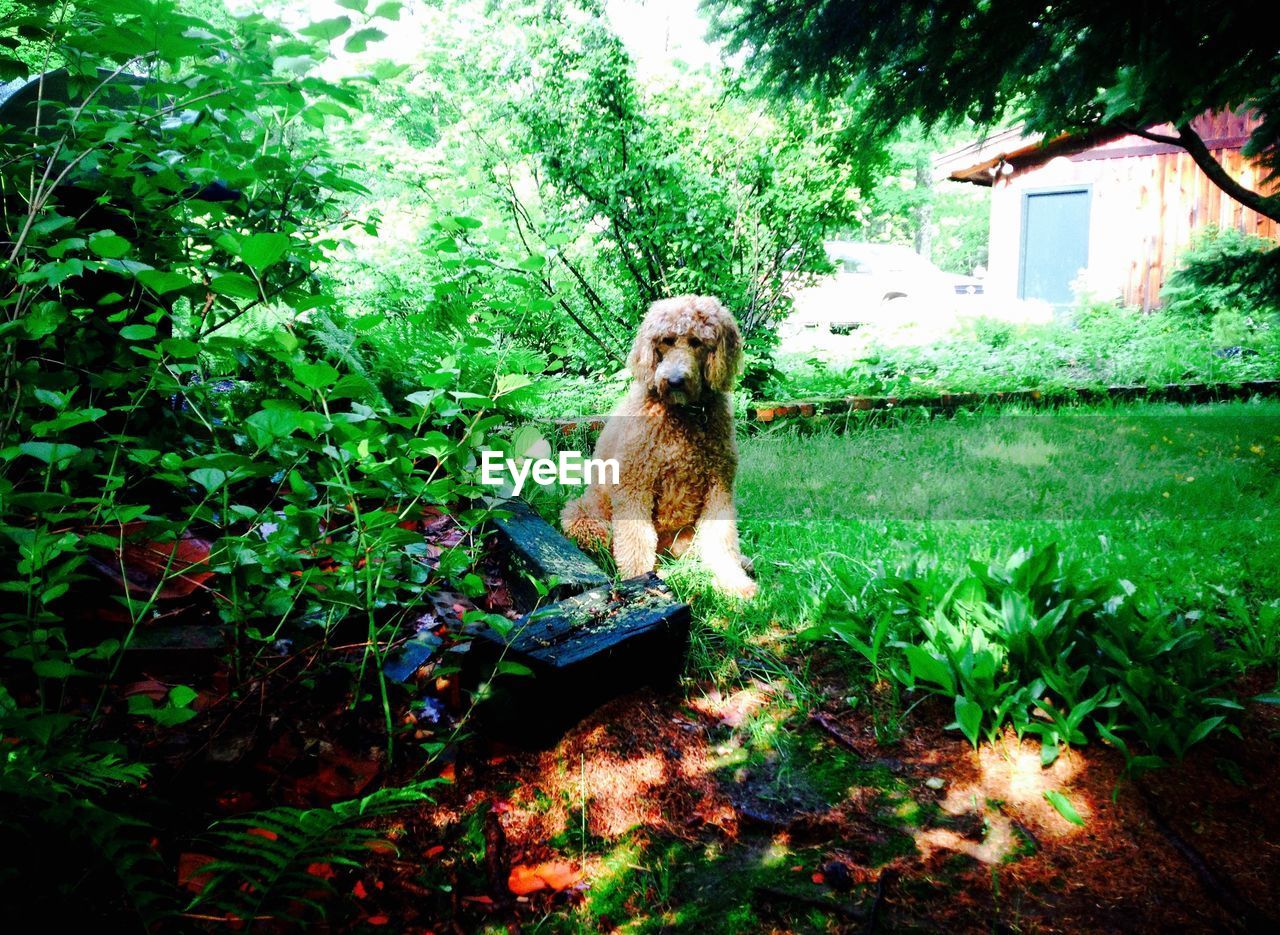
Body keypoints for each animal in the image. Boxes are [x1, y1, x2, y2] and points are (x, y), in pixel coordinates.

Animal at [563, 292, 757, 596]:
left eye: (697, 342)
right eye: (665, 340)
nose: (674, 380)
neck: (683, 416)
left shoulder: (719, 488)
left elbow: (723, 542)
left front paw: (734, 582)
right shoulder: (634, 486)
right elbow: (635, 542)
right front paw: (638, 580)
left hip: (686, 536)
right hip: (583, 517)